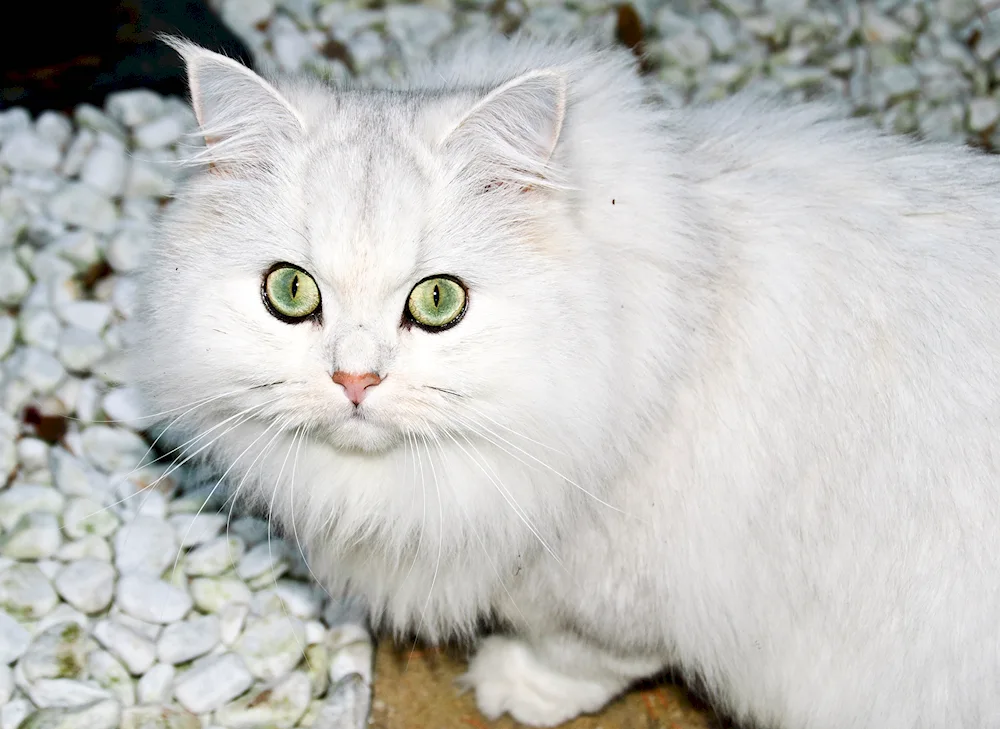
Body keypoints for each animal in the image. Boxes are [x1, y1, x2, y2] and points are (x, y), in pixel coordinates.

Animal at [131, 32, 1000, 728]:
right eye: (290, 292)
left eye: (438, 301)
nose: (355, 379)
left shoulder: (618, 598)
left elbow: (580, 656)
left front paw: (513, 686)